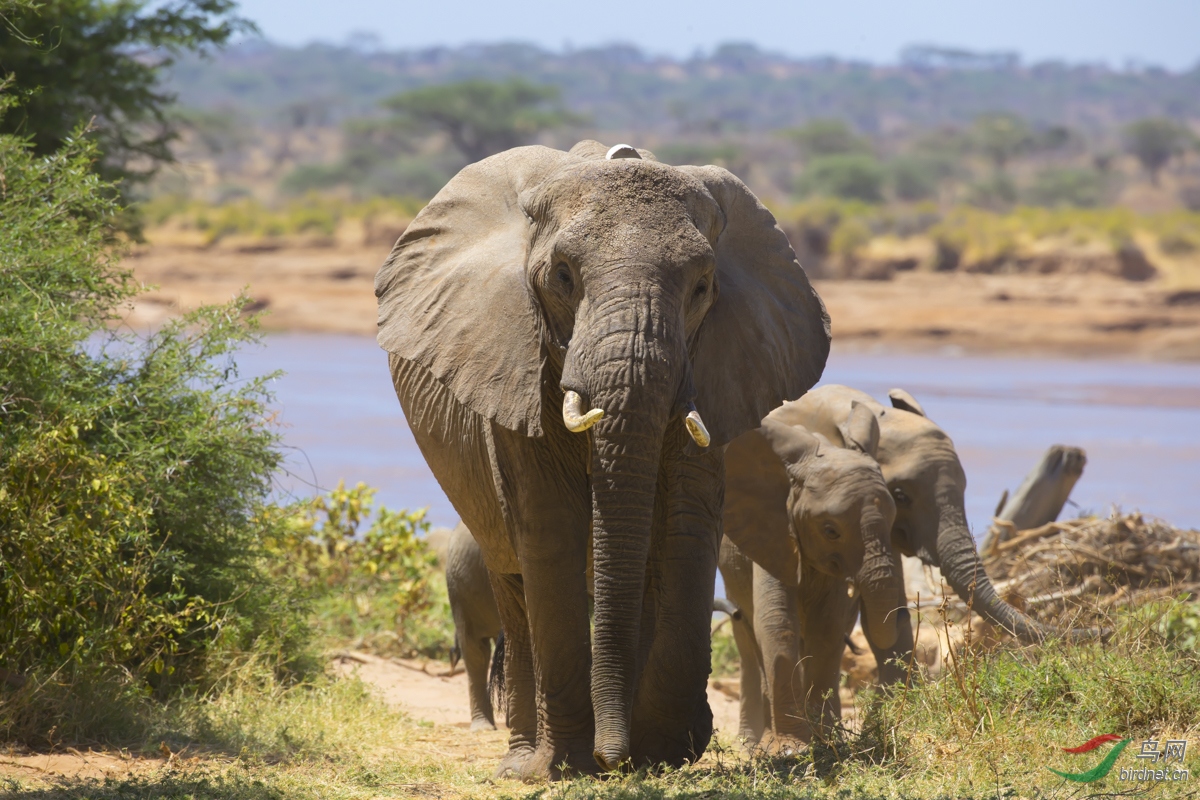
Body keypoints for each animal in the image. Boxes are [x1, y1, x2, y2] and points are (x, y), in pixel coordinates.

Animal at [374, 140, 825, 777]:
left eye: (702, 286)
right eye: (563, 276)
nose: (615, 757)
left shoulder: (714, 368)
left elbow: (686, 523)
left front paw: (662, 750)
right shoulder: (513, 365)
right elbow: (550, 525)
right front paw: (569, 765)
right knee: (513, 583)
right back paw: (524, 760)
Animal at [715, 402, 897, 748]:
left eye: (893, 521)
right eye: (830, 530)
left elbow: (827, 627)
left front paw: (826, 742)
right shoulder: (771, 532)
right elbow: (776, 622)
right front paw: (791, 749)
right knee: (747, 636)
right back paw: (758, 744)